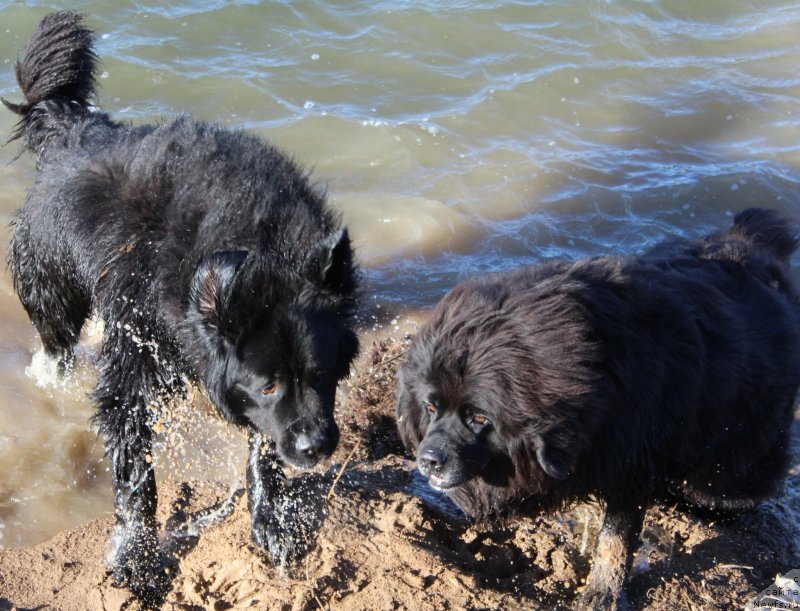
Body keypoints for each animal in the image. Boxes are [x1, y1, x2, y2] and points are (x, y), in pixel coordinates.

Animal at [3, 11, 360, 604]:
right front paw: (136, 555)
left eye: (322, 373)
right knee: (56, 346)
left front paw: (271, 520)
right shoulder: (137, 349)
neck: (256, 246)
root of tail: (74, 128)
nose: (317, 446)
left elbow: (261, 447)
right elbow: (135, 469)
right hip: (50, 288)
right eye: (269, 384)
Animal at [396, 209, 800, 608]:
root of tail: (754, 247)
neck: (596, 373)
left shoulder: (631, 464)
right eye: (431, 407)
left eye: (479, 419)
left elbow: (614, 540)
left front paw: (602, 591)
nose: (428, 459)